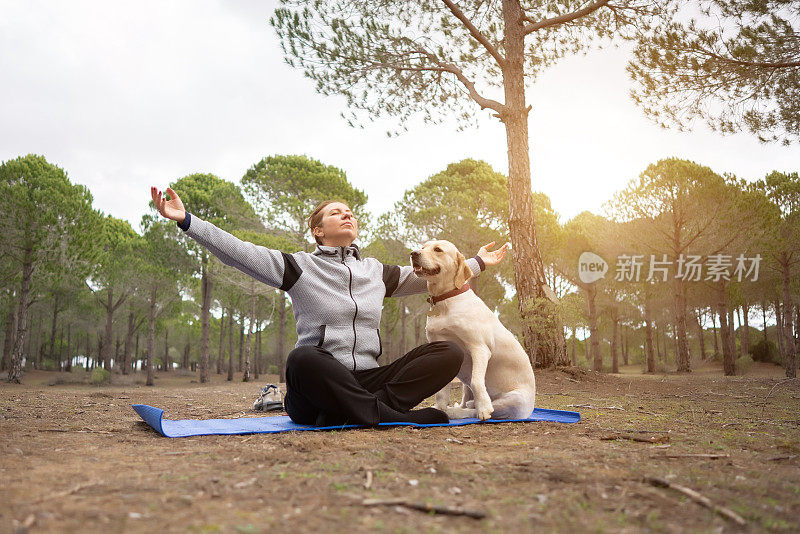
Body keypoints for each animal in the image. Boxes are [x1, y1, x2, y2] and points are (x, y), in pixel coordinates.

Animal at [412, 241, 536, 420]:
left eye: (437, 249)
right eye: (423, 247)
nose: (413, 253)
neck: (446, 299)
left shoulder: (479, 348)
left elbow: (477, 382)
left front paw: (483, 407)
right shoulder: (441, 346)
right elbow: (442, 391)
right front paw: (439, 408)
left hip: (514, 399)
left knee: (476, 409)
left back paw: (463, 410)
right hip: (467, 388)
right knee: (467, 401)